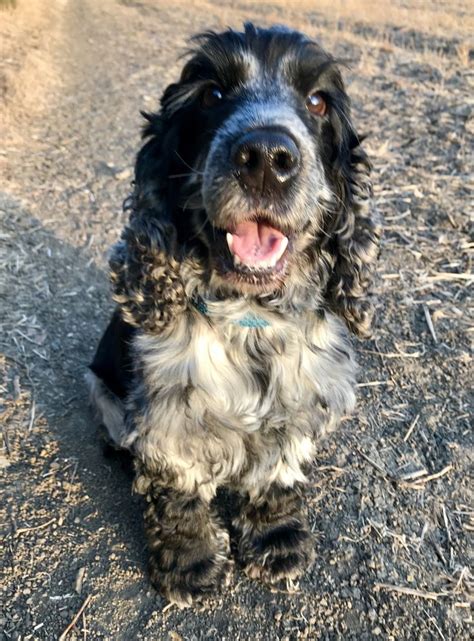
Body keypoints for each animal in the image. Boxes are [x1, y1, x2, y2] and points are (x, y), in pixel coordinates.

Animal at [86, 23, 382, 604]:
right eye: (212, 94)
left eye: (318, 101)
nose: (266, 156)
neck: (251, 320)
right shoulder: (167, 417)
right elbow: (178, 492)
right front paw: (191, 564)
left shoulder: (299, 400)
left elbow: (276, 473)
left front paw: (277, 541)